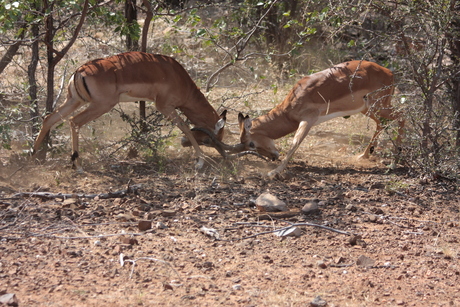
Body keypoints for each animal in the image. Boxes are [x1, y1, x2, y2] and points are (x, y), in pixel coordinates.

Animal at [31, 52, 229, 171]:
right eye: (208, 140)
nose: (224, 156)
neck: (177, 76)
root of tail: (80, 71)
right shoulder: (164, 106)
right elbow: (185, 128)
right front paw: (200, 161)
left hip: (75, 101)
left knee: (49, 119)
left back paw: (33, 157)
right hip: (100, 105)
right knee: (74, 121)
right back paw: (78, 165)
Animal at [237, 60, 402, 179]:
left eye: (251, 144)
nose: (272, 157)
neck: (288, 110)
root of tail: (390, 73)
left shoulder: (308, 120)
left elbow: (294, 144)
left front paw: (273, 172)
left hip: (380, 106)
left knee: (401, 117)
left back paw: (394, 162)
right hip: (368, 109)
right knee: (381, 123)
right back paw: (364, 155)